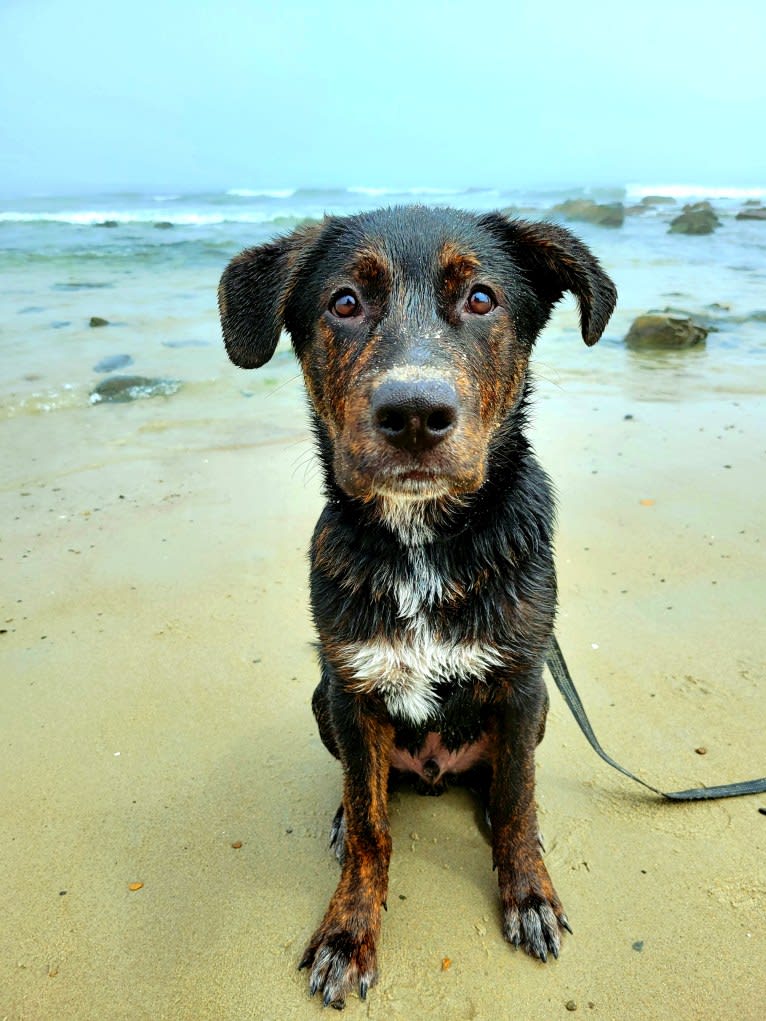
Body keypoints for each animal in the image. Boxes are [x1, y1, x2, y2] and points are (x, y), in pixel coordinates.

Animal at [216, 205, 616, 1004]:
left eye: (482, 298)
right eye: (344, 303)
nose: (414, 415)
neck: (422, 543)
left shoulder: (523, 681)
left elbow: (520, 799)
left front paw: (528, 895)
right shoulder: (352, 688)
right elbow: (373, 829)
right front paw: (349, 931)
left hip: (542, 710)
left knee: (504, 780)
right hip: (322, 699)